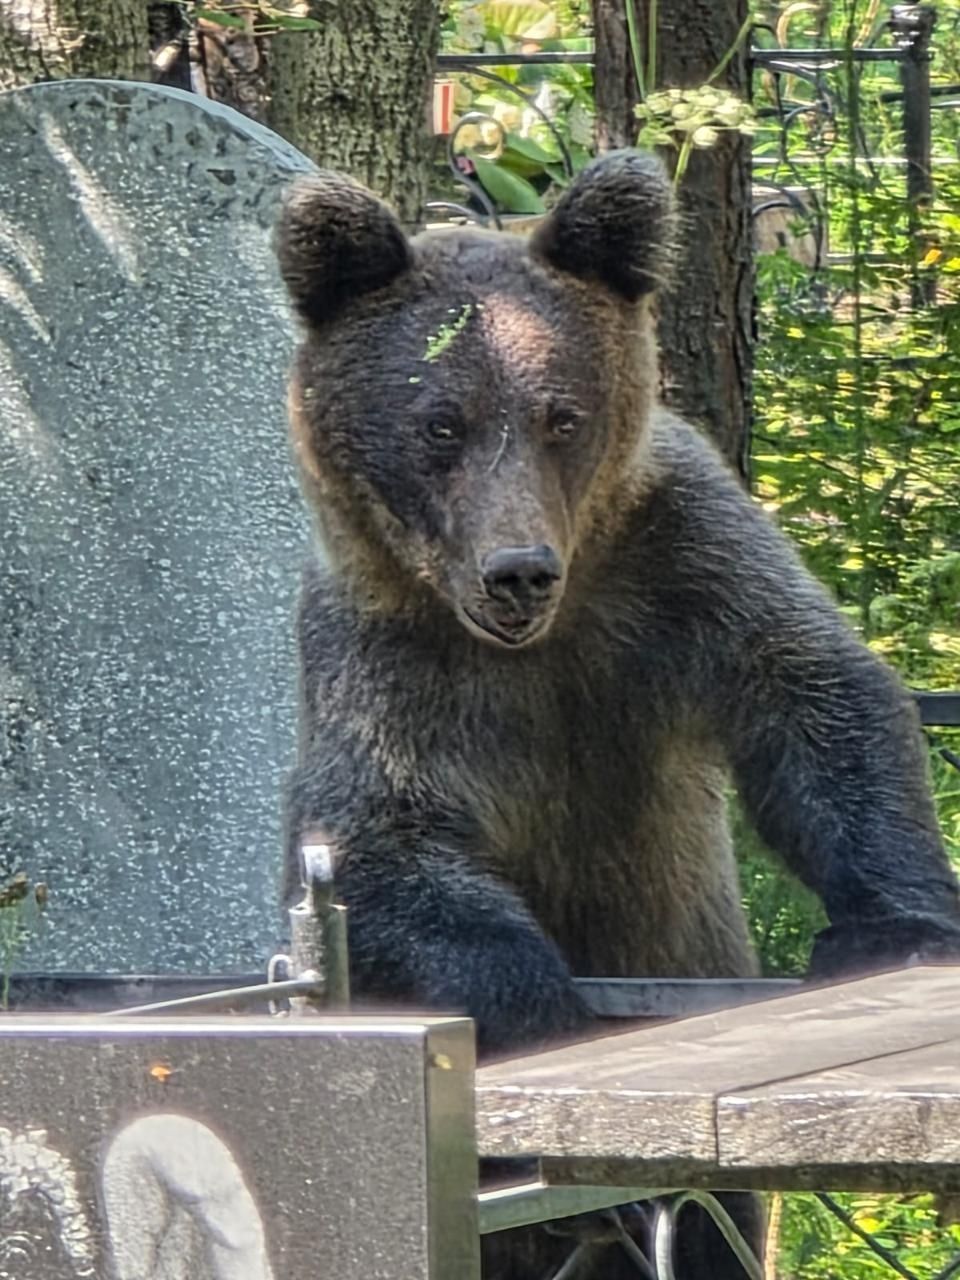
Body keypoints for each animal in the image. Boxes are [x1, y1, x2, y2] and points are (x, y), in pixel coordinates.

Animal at [274, 151, 960, 1279]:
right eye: (440, 423)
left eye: (563, 414)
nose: (518, 571)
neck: (539, 643)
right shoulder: (383, 660)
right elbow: (378, 842)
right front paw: (546, 1011)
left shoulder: (677, 564)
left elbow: (816, 692)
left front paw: (893, 927)